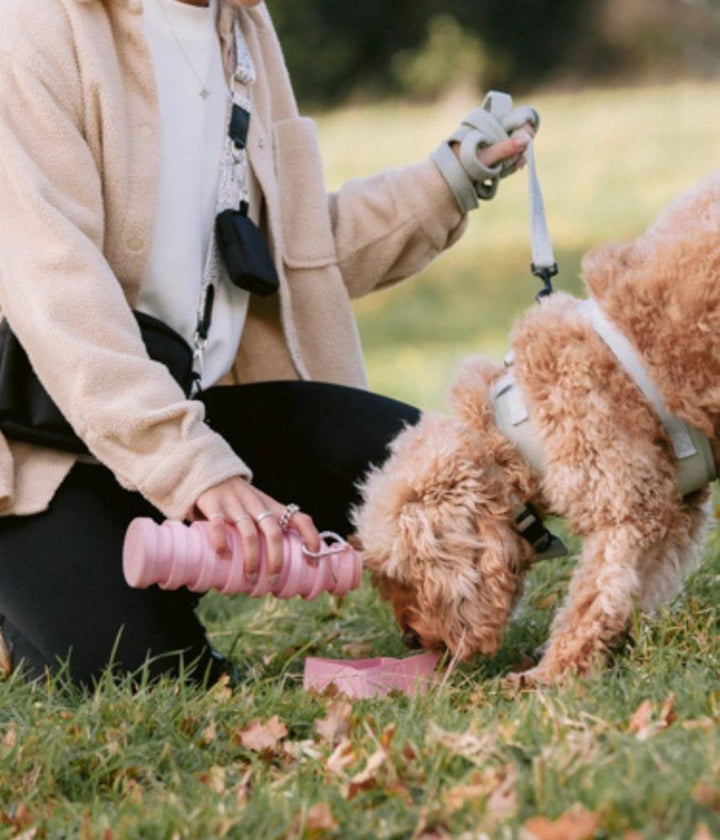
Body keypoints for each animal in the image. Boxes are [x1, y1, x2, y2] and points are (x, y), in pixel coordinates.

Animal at [354, 169, 720, 684]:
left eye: (401, 574)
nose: (409, 640)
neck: (517, 429)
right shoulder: (671, 508)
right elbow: (633, 590)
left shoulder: (626, 506)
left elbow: (590, 601)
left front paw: (549, 676)